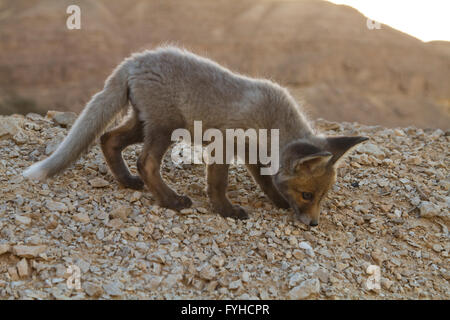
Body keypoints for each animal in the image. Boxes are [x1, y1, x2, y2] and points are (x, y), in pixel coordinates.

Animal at [22, 47, 370, 228]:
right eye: (308, 195)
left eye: (321, 197)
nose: (313, 223)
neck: (271, 122)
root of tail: (136, 59)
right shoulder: (224, 145)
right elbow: (218, 183)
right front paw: (226, 211)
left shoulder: (253, 155)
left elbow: (267, 182)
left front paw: (278, 201)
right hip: (165, 128)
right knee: (146, 162)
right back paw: (171, 201)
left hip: (144, 124)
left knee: (108, 139)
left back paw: (127, 181)